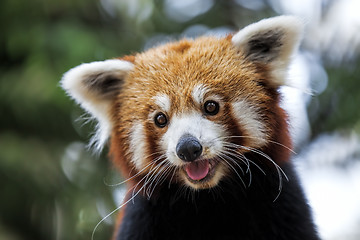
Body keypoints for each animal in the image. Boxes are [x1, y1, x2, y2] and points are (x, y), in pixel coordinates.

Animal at [62, 15, 320, 239]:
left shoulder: (283, 207)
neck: (208, 198)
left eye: (211, 106)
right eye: (160, 119)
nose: (187, 148)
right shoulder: (143, 219)